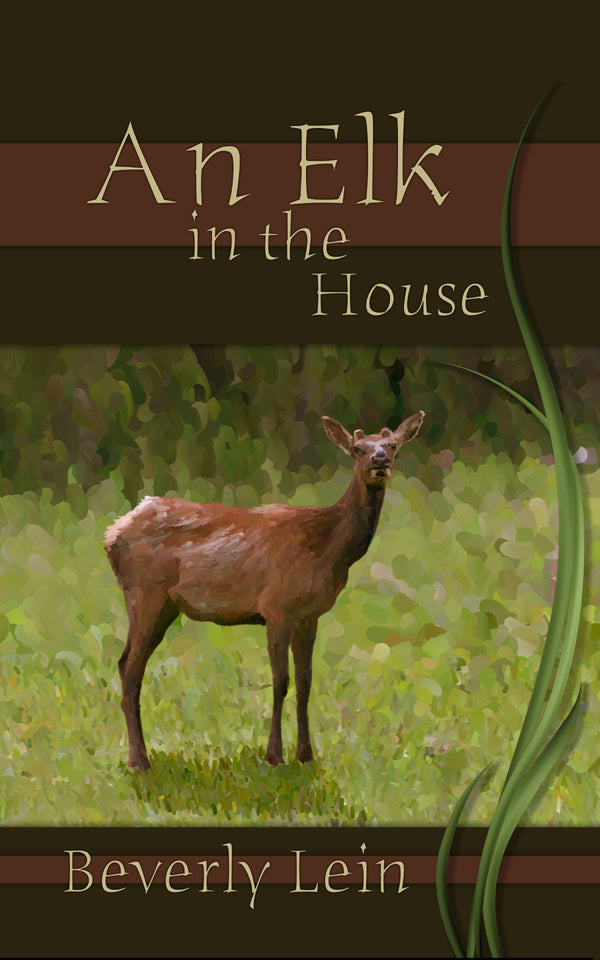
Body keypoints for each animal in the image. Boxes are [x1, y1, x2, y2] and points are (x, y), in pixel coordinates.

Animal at [104, 410, 425, 771]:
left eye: (393, 445)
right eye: (357, 449)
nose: (379, 460)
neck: (326, 548)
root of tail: (111, 534)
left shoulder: (309, 615)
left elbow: (305, 682)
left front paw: (305, 755)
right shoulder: (276, 606)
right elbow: (280, 681)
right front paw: (275, 755)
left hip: (164, 605)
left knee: (128, 663)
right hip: (145, 592)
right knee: (130, 665)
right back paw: (139, 760)